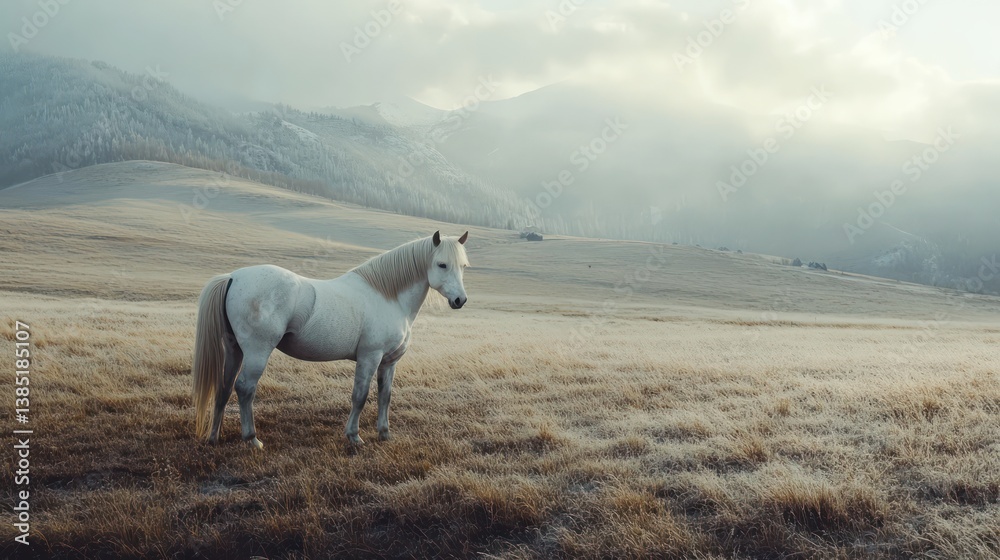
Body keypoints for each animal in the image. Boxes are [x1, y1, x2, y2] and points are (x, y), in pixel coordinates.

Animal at [191, 231, 470, 449]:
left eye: (463, 266)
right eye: (442, 264)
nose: (460, 300)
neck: (388, 297)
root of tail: (233, 277)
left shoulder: (389, 362)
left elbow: (385, 396)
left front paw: (384, 433)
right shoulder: (370, 357)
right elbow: (360, 395)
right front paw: (354, 436)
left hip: (234, 349)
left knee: (224, 387)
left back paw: (214, 437)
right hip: (257, 352)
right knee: (244, 388)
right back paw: (252, 439)